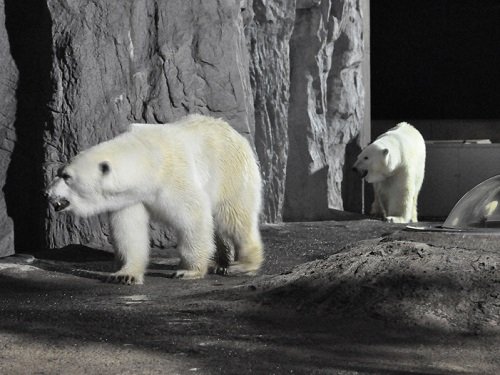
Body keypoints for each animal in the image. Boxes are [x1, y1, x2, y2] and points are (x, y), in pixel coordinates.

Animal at [46, 114, 264, 284]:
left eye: (66, 176)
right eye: (59, 172)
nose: (48, 193)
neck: (148, 159)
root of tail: (237, 135)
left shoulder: (174, 177)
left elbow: (193, 215)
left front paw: (188, 271)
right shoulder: (130, 197)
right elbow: (129, 230)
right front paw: (124, 275)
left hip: (229, 171)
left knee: (234, 217)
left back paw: (242, 265)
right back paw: (219, 262)